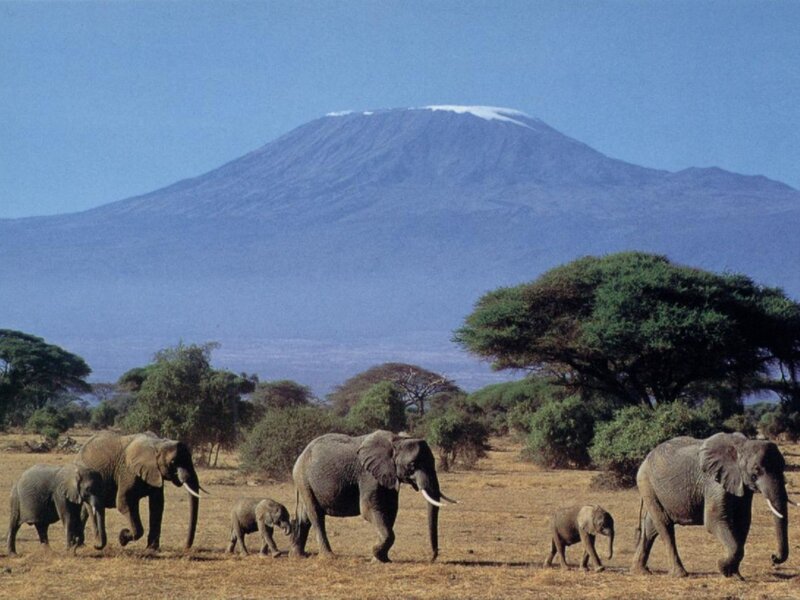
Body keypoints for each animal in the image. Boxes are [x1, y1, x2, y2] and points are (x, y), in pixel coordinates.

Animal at [290, 430, 457, 562]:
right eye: (412, 465)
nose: (432, 558)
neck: (396, 441)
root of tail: (301, 454)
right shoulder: (368, 475)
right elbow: (369, 509)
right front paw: (375, 552)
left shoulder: (387, 477)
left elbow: (390, 511)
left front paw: (382, 559)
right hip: (303, 478)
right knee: (316, 515)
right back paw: (328, 557)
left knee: (305, 517)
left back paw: (298, 556)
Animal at [632, 432, 790, 578]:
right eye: (756, 471)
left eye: (783, 468)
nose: (773, 558)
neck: (741, 446)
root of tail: (645, 459)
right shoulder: (714, 481)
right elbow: (714, 520)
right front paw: (721, 566)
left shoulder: (740, 484)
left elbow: (743, 520)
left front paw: (735, 575)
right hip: (646, 483)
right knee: (665, 525)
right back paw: (680, 574)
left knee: (651, 527)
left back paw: (641, 571)